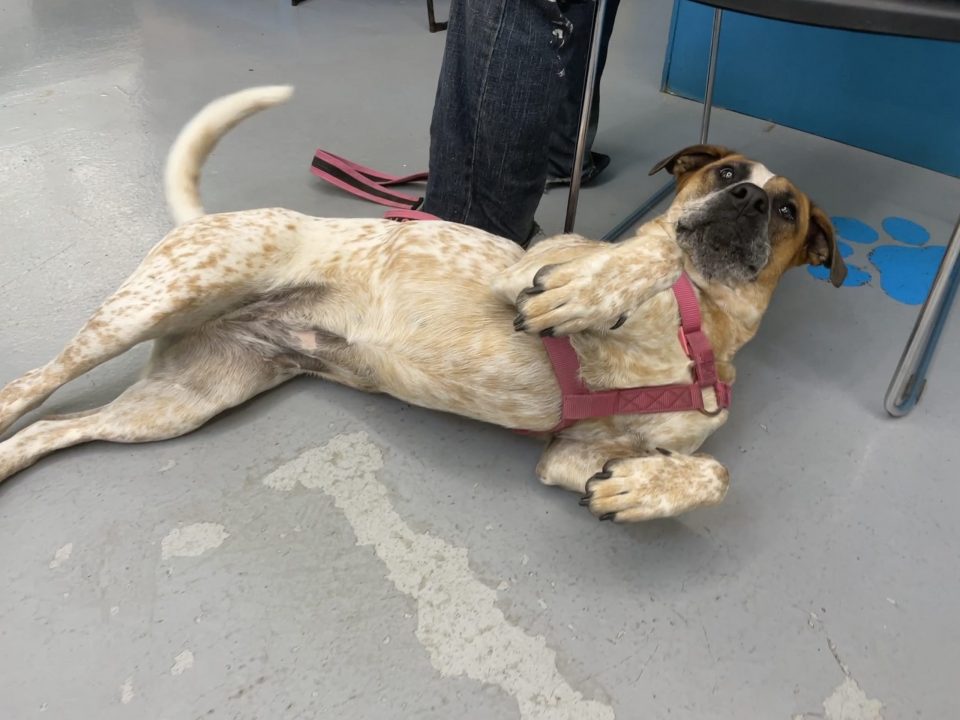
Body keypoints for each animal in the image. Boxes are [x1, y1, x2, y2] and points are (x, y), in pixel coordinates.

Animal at [0, 87, 844, 520]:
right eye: (727, 172)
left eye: (787, 210)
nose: (746, 199)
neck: (708, 326)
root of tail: (205, 219)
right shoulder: (530, 270)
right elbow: (651, 250)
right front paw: (596, 288)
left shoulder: (570, 457)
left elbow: (711, 474)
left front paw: (647, 489)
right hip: (154, 304)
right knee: (28, 388)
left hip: (181, 404)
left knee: (53, 430)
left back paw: (10, 462)